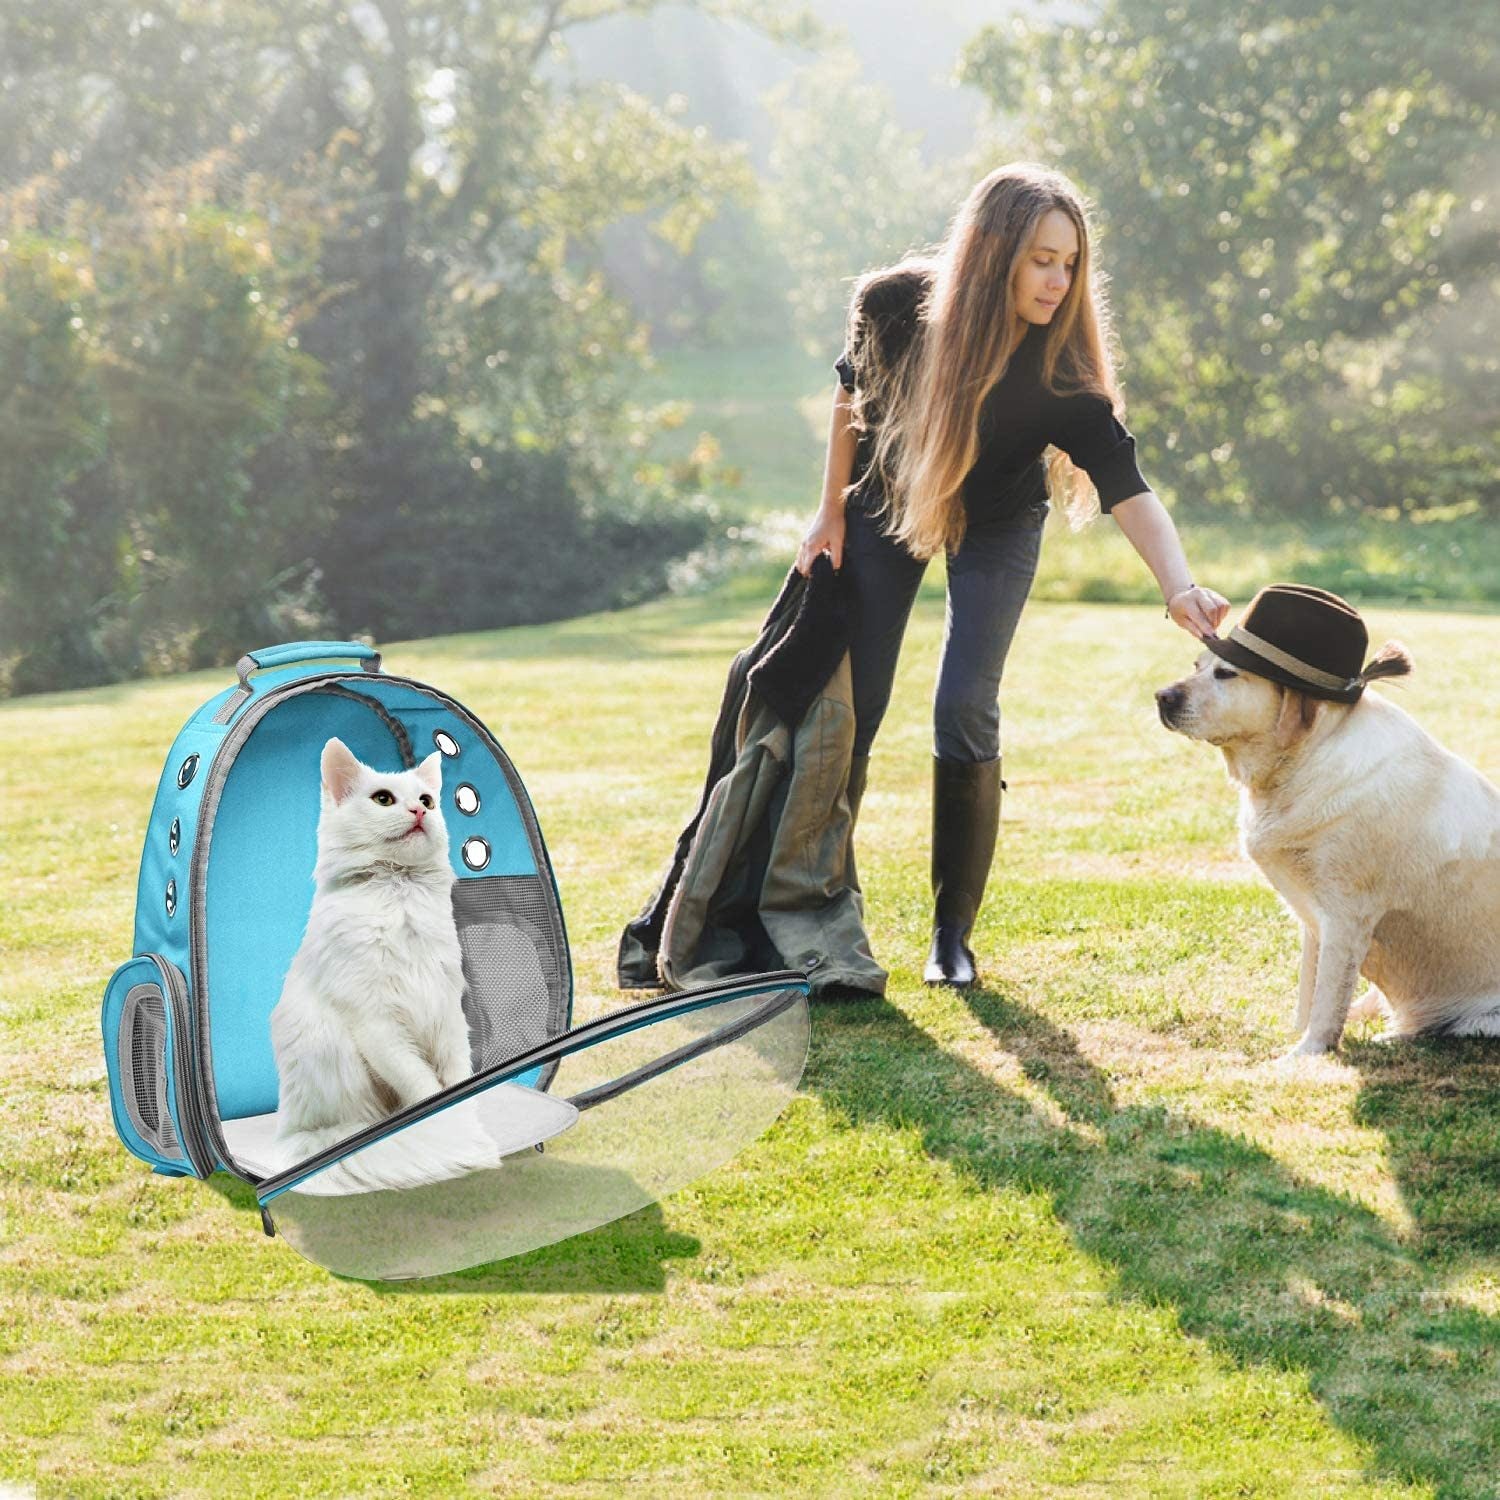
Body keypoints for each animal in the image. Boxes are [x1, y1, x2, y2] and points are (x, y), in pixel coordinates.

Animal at [270, 738, 498, 1194]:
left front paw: (466, 1115)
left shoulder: (447, 1011)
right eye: (383, 799)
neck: (399, 891)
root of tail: (292, 1132)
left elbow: (457, 1078)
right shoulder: (376, 1023)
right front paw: (453, 1127)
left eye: (427, 800)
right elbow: (427, 1090)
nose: (419, 812)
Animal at [1158, 582, 1500, 1056]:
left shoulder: (1346, 917)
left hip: (1481, 1020)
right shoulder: (1313, 920)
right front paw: (1296, 1039)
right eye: (1196, 666)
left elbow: (1326, 1002)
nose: (1161, 697)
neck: (1303, 759)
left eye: (1226, 674)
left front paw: (1304, 1056)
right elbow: (1311, 993)